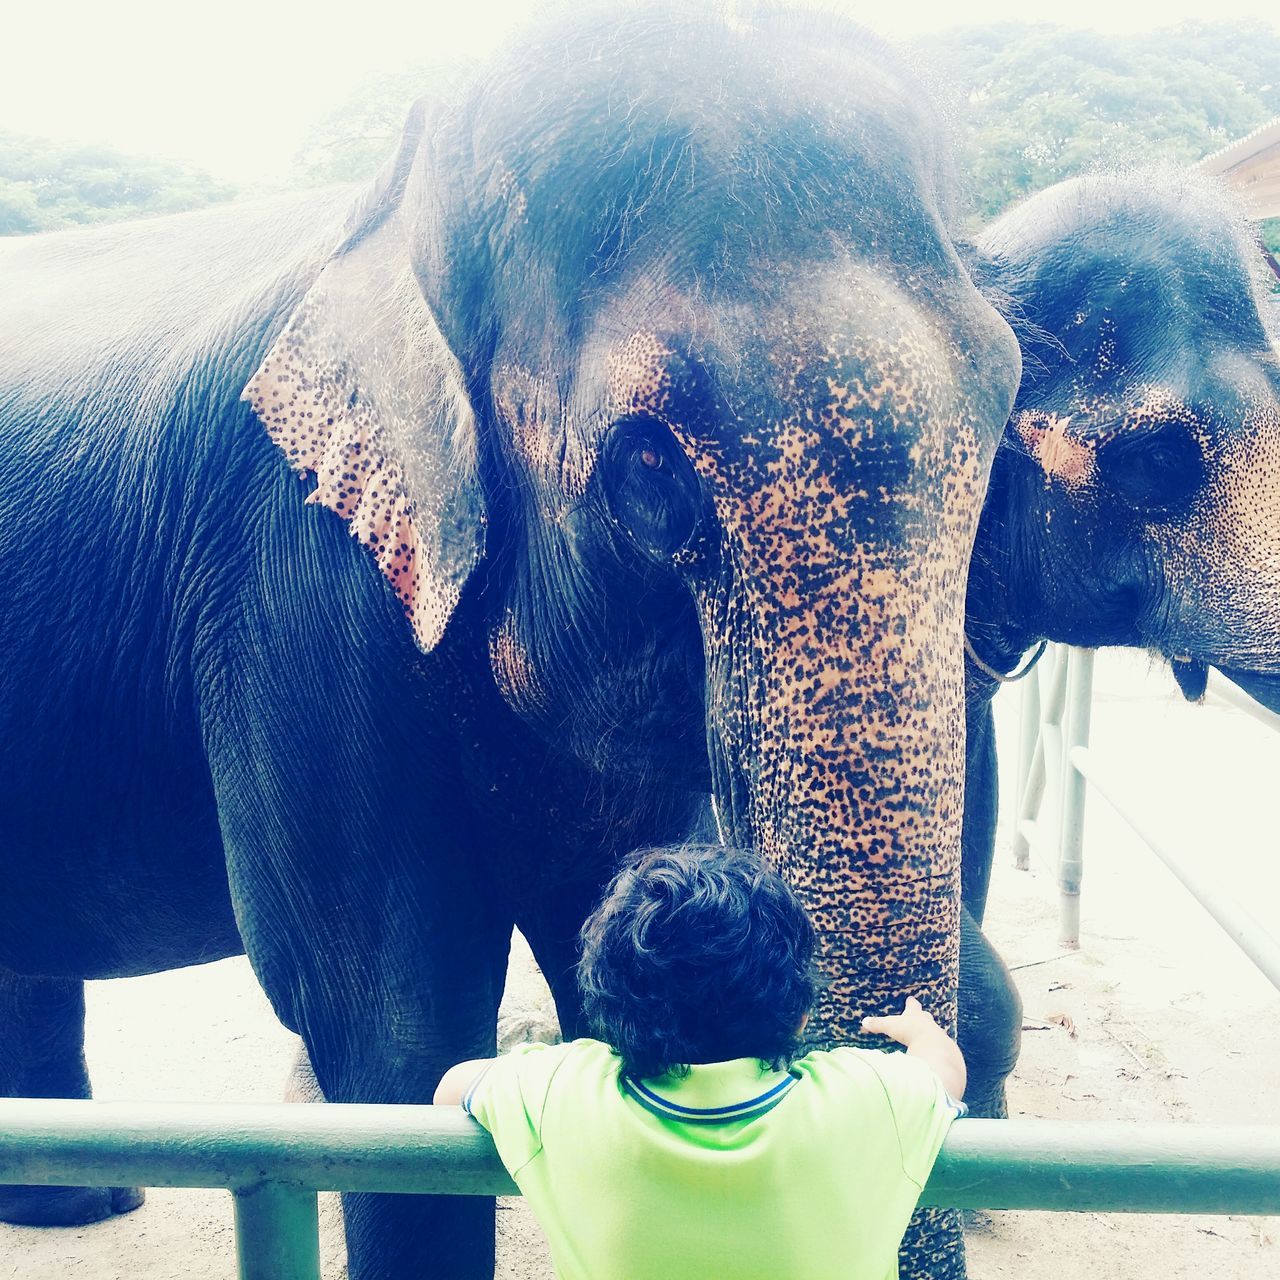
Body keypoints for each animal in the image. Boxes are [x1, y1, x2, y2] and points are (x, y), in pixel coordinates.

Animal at [0, 10, 1018, 1280]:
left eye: (1005, 400)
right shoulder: (288, 576)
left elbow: (604, 950)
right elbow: (388, 1029)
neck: (398, 204)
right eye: (647, 465)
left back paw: (79, 1203)